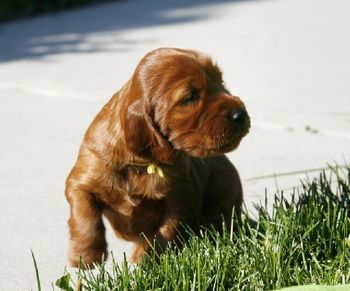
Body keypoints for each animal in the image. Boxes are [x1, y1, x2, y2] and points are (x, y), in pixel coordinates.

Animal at [65, 47, 250, 266]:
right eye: (190, 97)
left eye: (220, 80)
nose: (240, 114)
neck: (139, 164)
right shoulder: (82, 177)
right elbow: (84, 212)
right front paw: (85, 256)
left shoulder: (179, 197)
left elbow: (165, 233)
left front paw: (146, 261)